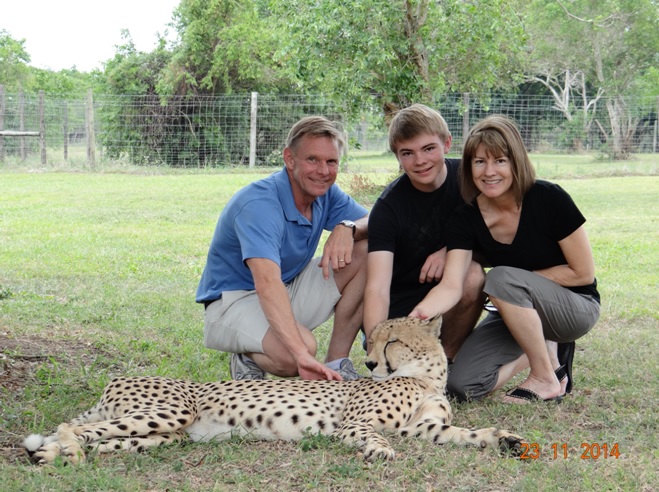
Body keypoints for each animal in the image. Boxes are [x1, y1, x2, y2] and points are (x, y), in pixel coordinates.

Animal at [23, 316, 524, 466]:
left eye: (393, 340)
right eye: (371, 340)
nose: (368, 362)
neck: (425, 376)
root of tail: (115, 380)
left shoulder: (425, 429)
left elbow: (466, 435)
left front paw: (505, 438)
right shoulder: (355, 423)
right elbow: (371, 435)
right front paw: (379, 452)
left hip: (164, 434)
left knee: (101, 439)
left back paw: (56, 453)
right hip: (169, 411)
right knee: (73, 426)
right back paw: (57, 452)